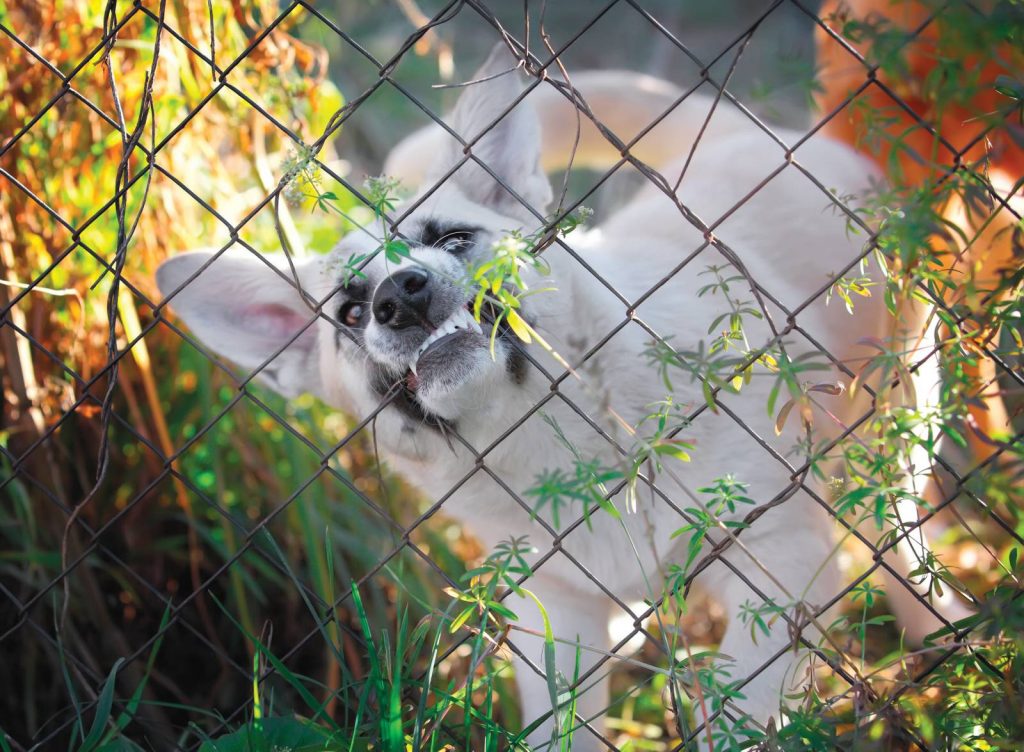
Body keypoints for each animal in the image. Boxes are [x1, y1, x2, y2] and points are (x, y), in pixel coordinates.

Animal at [155, 47, 962, 752]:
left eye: (454, 239)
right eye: (349, 313)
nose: (400, 296)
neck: (552, 440)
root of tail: (746, 131)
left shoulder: (778, 561)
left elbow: (743, 707)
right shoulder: (559, 624)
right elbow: (564, 726)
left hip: (896, 433)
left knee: (900, 540)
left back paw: (942, 630)